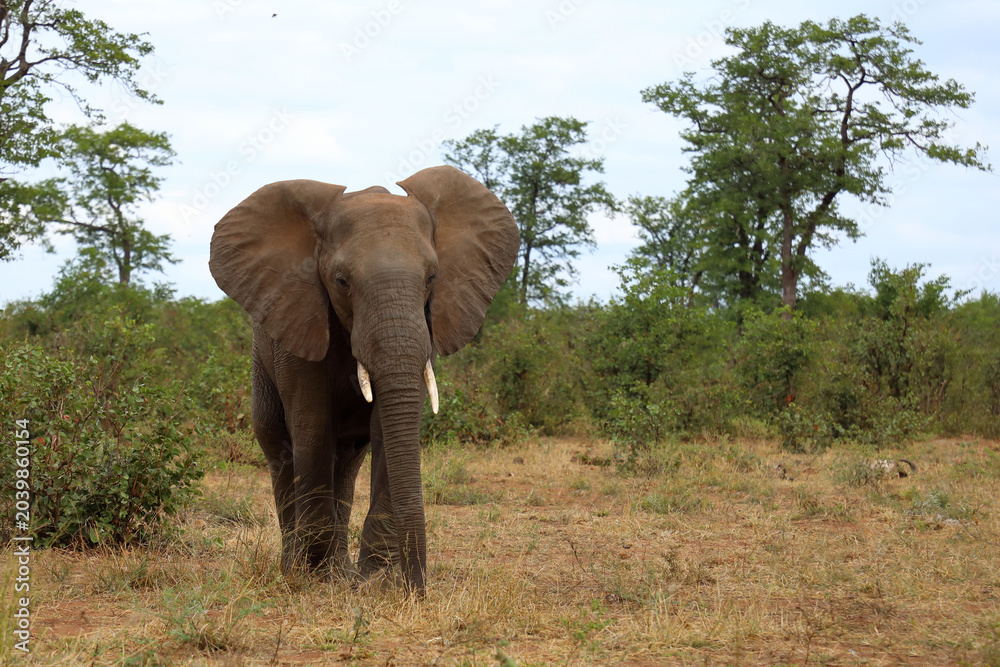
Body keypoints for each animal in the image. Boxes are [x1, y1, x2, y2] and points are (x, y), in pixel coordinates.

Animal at [208, 165, 518, 594]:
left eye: (432, 277)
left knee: (347, 461)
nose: (418, 590)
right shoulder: (300, 320)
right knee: (281, 450)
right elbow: (312, 427)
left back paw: (339, 569)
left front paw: (378, 581)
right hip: (261, 364)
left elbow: (387, 427)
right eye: (341, 281)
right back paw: (296, 567)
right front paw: (316, 578)